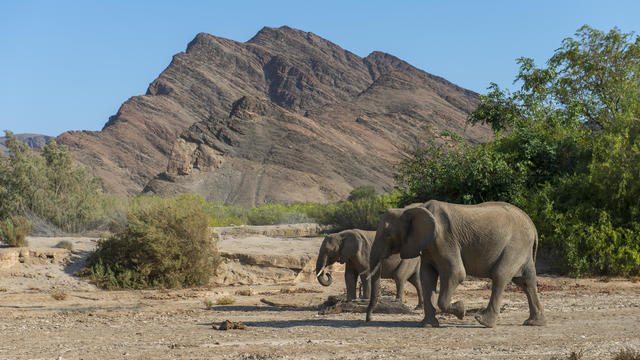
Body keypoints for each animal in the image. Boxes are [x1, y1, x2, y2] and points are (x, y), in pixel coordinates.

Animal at [368, 201, 544, 328]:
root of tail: (533, 227)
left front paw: (461, 310)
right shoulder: (429, 246)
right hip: (522, 249)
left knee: (500, 275)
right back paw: (534, 323)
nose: (368, 319)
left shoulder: (444, 239)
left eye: (388, 234)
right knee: (526, 281)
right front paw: (428, 325)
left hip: (515, 245)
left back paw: (483, 321)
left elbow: (456, 273)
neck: (412, 209)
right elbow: (427, 277)